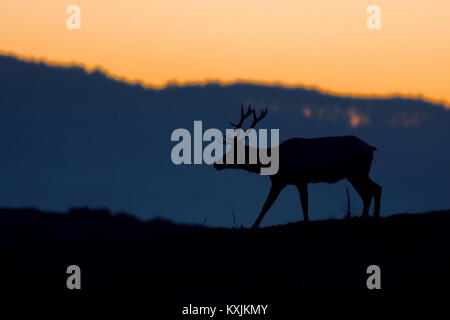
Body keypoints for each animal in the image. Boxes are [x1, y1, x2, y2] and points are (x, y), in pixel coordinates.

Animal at [214, 105, 380, 228]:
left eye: (234, 152)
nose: (216, 164)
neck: (273, 160)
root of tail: (370, 148)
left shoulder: (285, 181)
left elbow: (267, 205)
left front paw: (253, 226)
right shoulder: (301, 181)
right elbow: (304, 205)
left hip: (357, 172)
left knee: (371, 191)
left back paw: (368, 217)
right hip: (357, 173)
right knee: (372, 190)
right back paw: (371, 217)